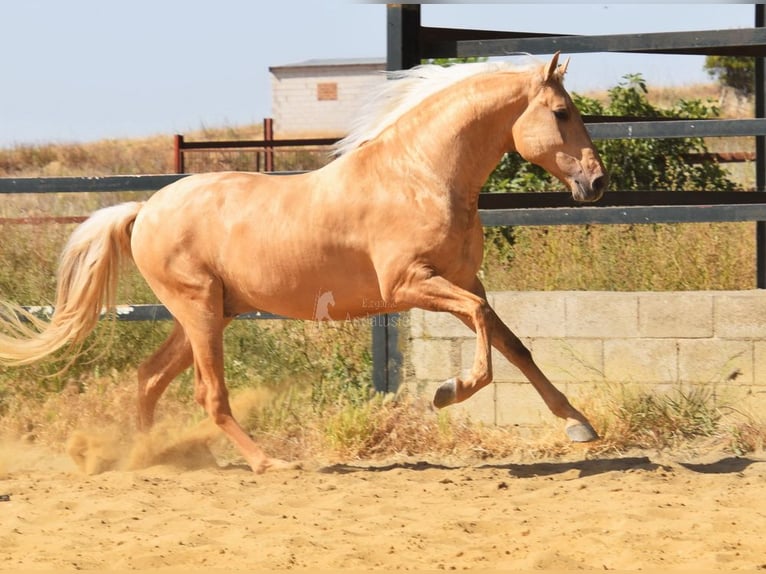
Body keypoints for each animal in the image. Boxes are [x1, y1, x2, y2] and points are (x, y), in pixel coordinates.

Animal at [3, 53, 608, 472]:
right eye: (562, 113)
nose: (597, 182)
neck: (419, 175)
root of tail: (144, 209)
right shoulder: (412, 285)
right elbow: (484, 332)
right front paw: (448, 391)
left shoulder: (465, 281)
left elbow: (515, 345)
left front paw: (579, 425)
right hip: (199, 310)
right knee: (208, 393)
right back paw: (266, 461)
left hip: (211, 311)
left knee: (150, 377)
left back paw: (154, 457)